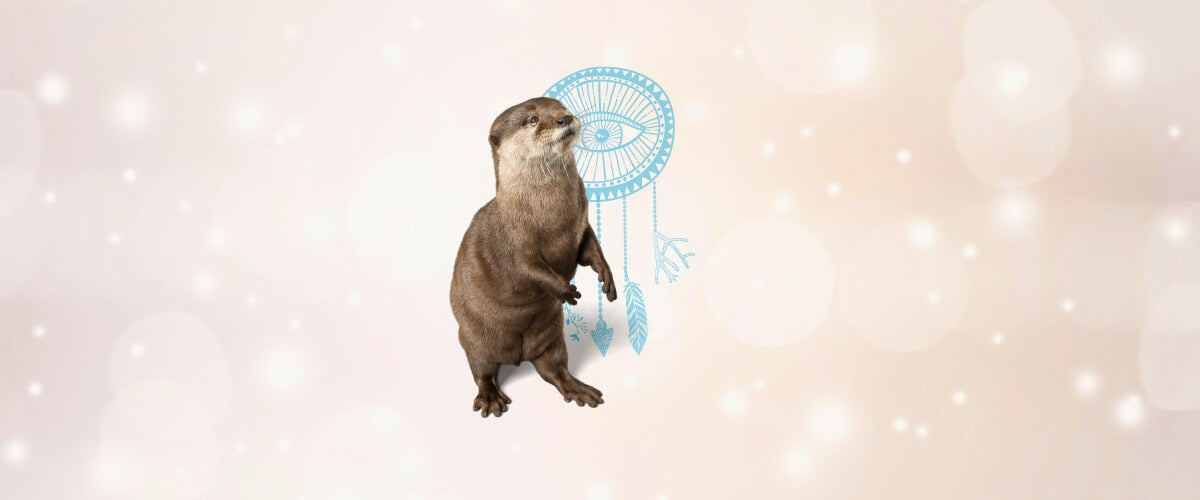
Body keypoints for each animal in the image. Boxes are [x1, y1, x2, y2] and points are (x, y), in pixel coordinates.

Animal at [450, 97, 618, 418]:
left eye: (561, 107)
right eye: (532, 119)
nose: (564, 119)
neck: (552, 217)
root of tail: (516, 357)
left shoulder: (581, 224)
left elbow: (590, 247)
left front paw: (606, 275)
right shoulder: (512, 241)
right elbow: (528, 269)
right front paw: (566, 290)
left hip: (552, 336)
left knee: (554, 368)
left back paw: (577, 388)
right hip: (473, 336)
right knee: (482, 370)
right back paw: (491, 398)